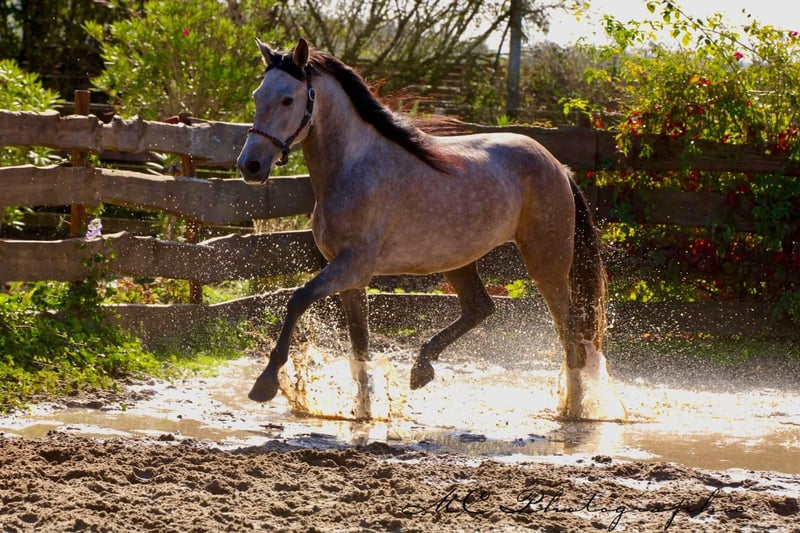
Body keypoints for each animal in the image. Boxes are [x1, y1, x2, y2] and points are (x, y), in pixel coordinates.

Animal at [237, 38, 627, 420]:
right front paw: (364, 411)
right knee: (481, 308)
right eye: (257, 95)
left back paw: (575, 410)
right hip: (458, 261)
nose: (250, 166)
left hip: (547, 264)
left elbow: (298, 299)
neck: (352, 168)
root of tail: (559, 167)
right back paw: (421, 369)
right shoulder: (351, 278)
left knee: (570, 334)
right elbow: (360, 345)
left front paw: (265, 384)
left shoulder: (353, 265)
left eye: (288, 99)